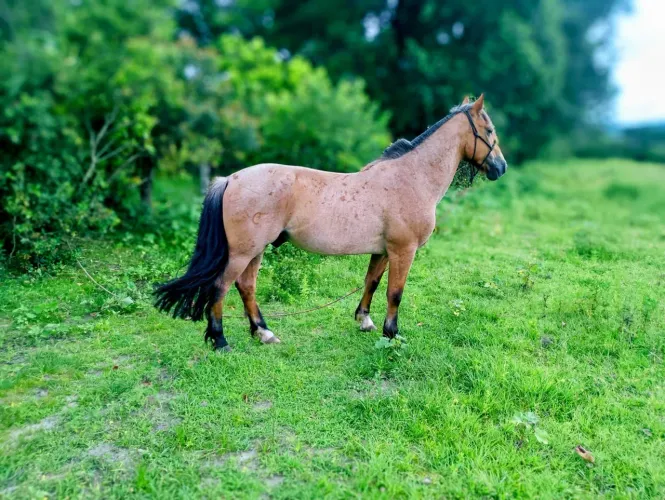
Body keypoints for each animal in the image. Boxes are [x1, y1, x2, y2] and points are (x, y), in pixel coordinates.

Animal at [155, 95, 508, 351]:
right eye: (489, 131)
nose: (501, 167)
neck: (412, 178)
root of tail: (230, 179)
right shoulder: (403, 250)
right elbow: (395, 293)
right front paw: (391, 334)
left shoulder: (383, 250)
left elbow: (371, 282)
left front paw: (364, 321)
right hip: (242, 252)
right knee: (220, 288)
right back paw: (220, 340)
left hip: (254, 251)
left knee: (246, 286)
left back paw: (264, 333)